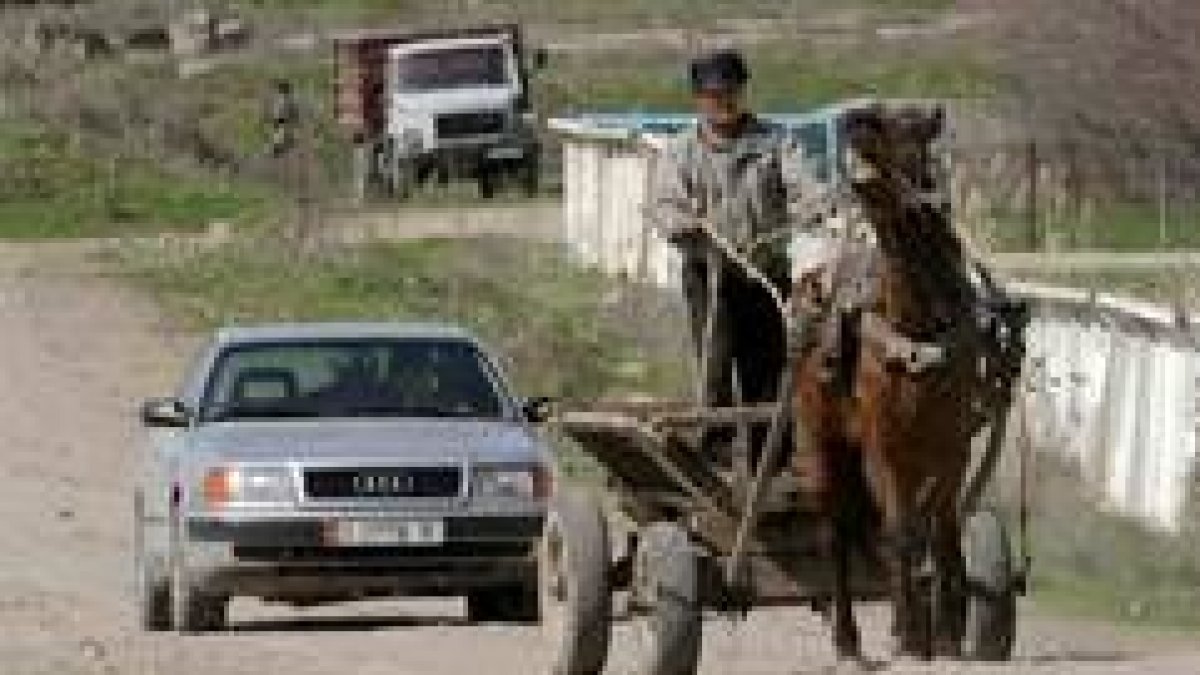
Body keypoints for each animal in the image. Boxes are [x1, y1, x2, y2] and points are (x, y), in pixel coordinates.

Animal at [787, 106, 1022, 662]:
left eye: (909, 127)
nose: (852, 120)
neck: (918, 329)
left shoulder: (952, 447)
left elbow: (944, 530)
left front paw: (950, 629)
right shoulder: (885, 450)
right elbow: (900, 532)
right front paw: (908, 631)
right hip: (820, 440)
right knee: (837, 532)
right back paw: (848, 638)